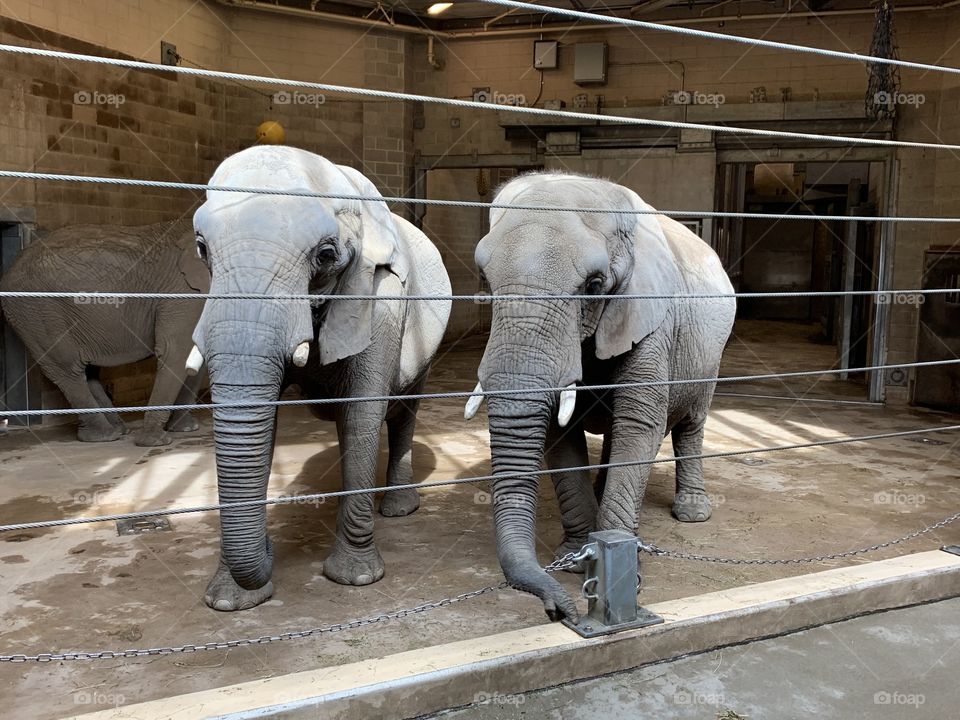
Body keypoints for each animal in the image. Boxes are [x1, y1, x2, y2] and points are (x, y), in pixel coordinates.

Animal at [0, 220, 210, 446]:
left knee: (86, 370)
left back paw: (117, 430)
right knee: (67, 369)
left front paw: (186, 429)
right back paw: (104, 435)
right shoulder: (183, 292)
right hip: (37, 312)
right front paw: (155, 441)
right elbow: (177, 351)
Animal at [190, 145, 451, 611]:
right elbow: (267, 426)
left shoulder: (380, 296)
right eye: (202, 248)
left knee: (403, 409)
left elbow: (363, 410)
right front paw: (228, 602)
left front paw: (356, 578)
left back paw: (398, 509)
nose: (270, 551)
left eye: (326, 256)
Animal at [466, 172, 735, 622]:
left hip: (710, 352)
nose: (560, 612)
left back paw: (693, 512)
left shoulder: (650, 316)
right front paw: (578, 556)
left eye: (594, 285)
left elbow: (638, 424)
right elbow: (561, 437)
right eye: (484, 279)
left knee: (691, 424)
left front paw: (618, 558)